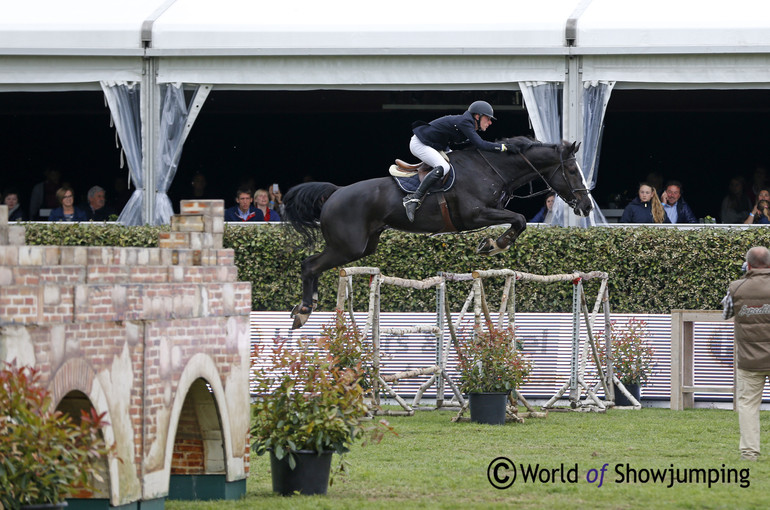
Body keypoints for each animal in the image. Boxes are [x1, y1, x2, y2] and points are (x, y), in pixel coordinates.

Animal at [284, 135, 592, 328]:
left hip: (362, 246)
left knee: (313, 265)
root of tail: (335, 193)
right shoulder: (475, 214)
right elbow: (519, 219)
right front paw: (494, 245)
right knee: (309, 265)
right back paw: (304, 310)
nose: (587, 206)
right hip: (347, 246)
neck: (493, 169)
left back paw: (306, 306)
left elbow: (518, 221)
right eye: (572, 171)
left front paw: (492, 244)